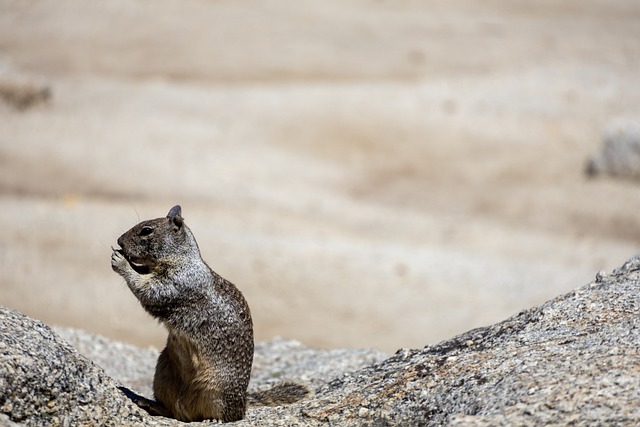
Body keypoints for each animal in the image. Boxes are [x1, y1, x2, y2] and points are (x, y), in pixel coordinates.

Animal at [111, 205, 309, 422]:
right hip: (162, 373)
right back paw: (149, 403)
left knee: (223, 415)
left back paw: (213, 418)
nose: (119, 241)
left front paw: (120, 261)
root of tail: (243, 403)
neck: (182, 259)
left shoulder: (179, 282)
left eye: (146, 230)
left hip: (215, 389)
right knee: (173, 410)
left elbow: (149, 290)